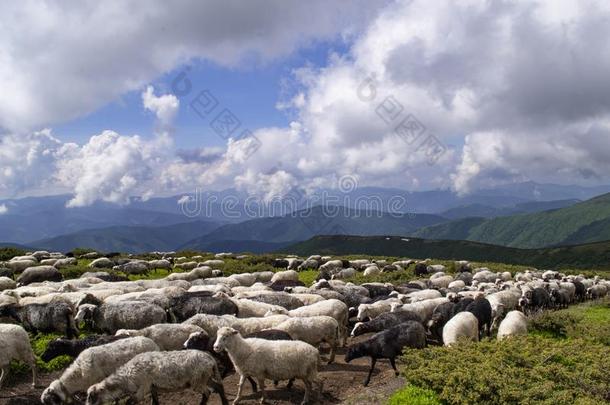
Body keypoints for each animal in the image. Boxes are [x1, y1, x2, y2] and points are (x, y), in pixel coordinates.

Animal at [85, 348, 228, 404]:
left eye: (91, 396)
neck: (126, 377)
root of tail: (210, 359)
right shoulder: (152, 388)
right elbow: (155, 402)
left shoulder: (143, 388)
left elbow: (129, 401)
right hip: (205, 377)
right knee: (219, 387)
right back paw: (225, 402)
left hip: (197, 380)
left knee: (207, 393)